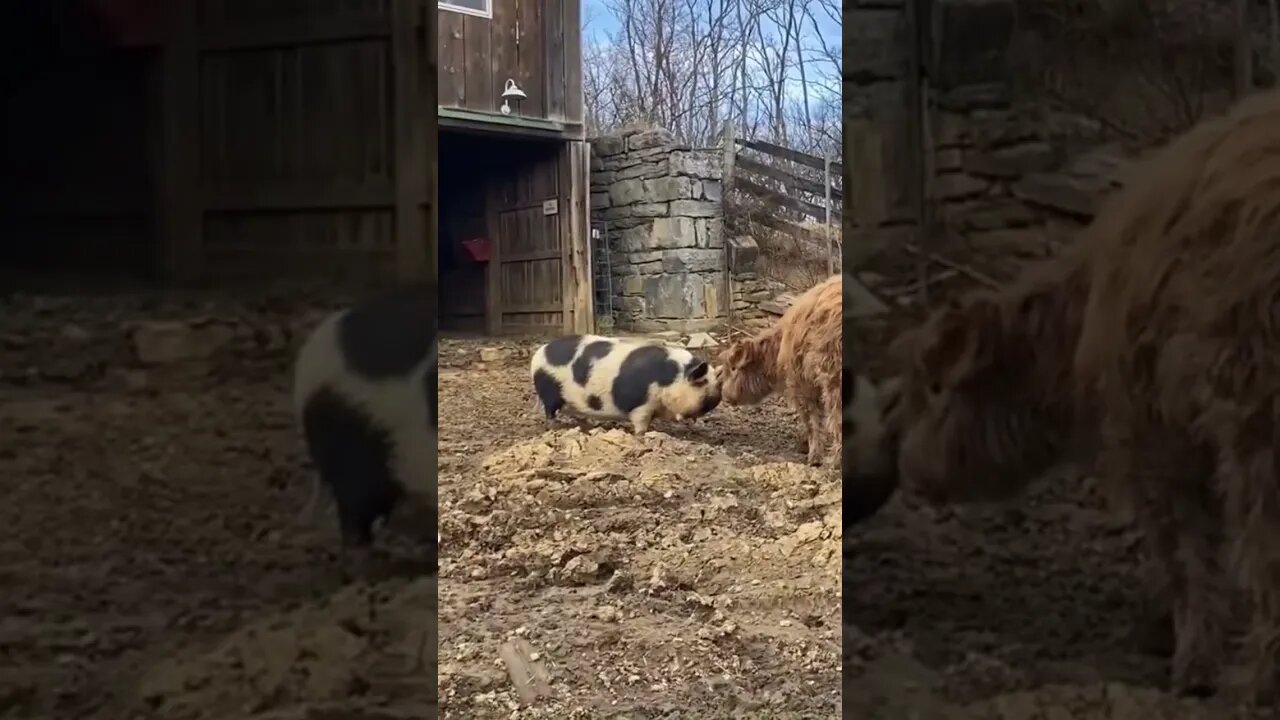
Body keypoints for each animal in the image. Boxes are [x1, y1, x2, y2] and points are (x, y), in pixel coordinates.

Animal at [527, 333, 721, 430]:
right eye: (702, 383)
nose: (716, 399)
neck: (670, 379)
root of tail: (539, 353)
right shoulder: (642, 404)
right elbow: (641, 423)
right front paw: (643, 436)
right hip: (548, 390)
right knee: (550, 411)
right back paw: (554, 427)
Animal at [890, 89, 1280, 702]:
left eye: (934, 387)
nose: (907, 470)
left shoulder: (1148, 431)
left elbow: (1185, 551)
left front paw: (1190, 667)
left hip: (1258, 415)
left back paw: (1257, 686)